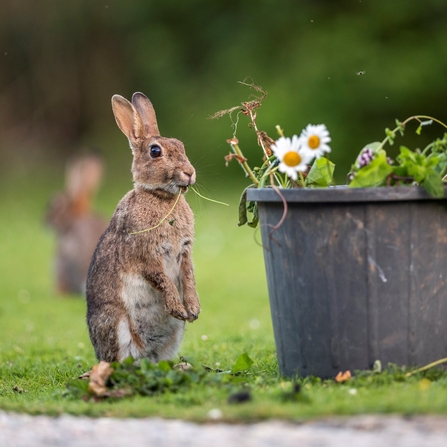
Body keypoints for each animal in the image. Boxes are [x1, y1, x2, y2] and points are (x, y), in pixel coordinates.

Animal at [86, 91, 201, 364]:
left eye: (180, 145)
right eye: (155, 151)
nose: (189, 173)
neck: (161, 197)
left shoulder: (185, 251)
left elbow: (189, 276)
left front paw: (192, 310)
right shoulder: (145, 253)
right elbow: (162, 280)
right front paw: (178, 308)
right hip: (116, 324)